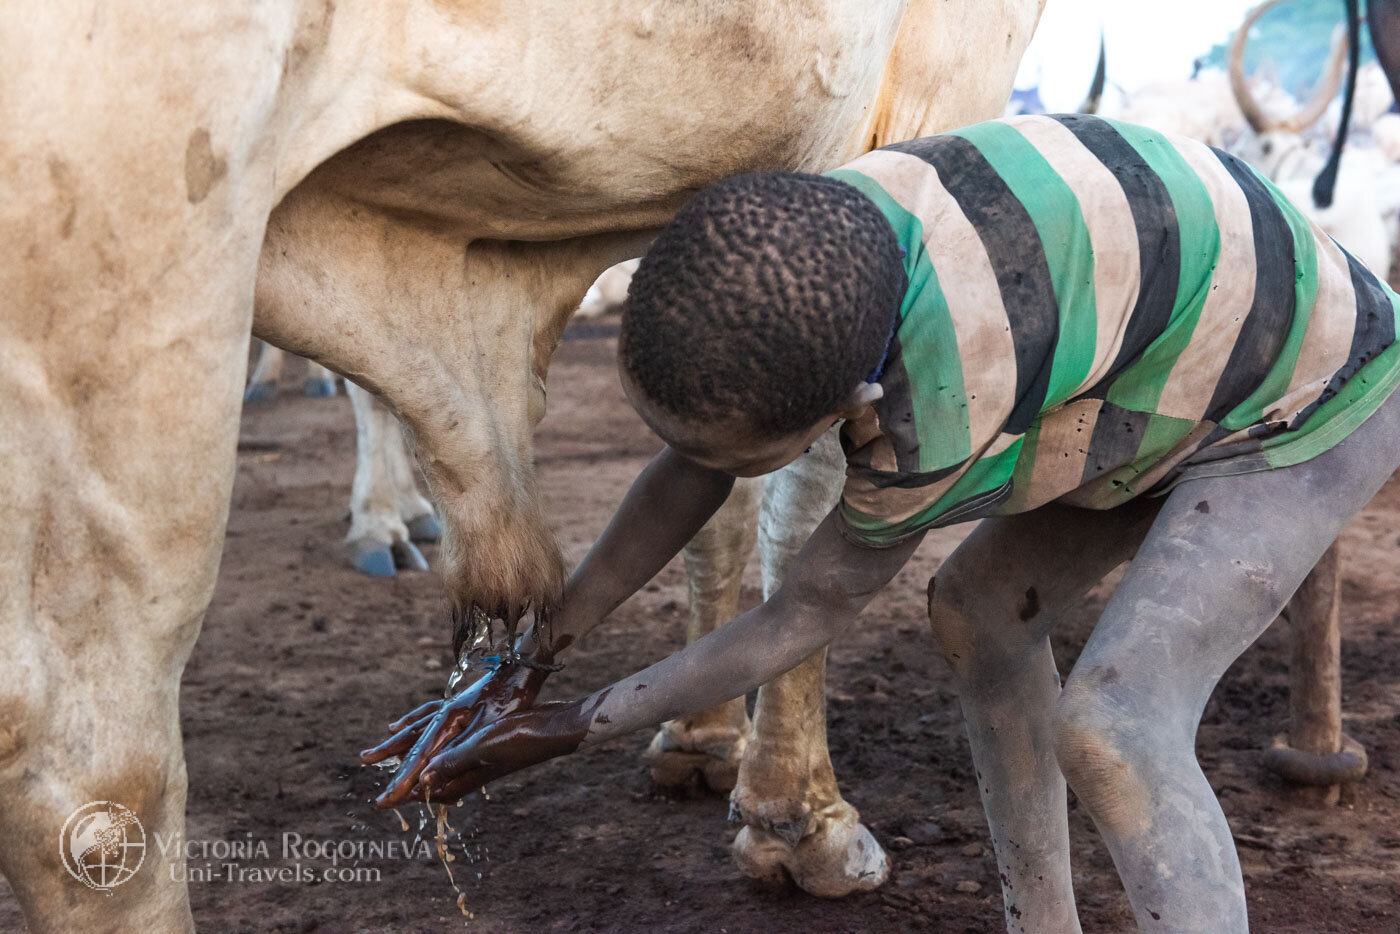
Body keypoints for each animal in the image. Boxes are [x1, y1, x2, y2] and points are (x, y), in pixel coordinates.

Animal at [0, 3, 1047, 929]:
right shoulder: (929, 92)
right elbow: (799, 514)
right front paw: (798, 821)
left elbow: (713, 498)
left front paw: (700, 740)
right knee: (90, 783)